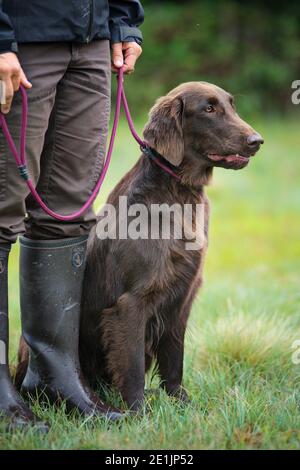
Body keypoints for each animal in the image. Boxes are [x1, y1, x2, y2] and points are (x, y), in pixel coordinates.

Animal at [17, 82, 264, 410]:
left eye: (231, 105)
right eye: (209, 109)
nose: (257, 141)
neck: (176, 194)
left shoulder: (181, 299)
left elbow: (174, 360)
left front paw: (180, 403)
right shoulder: (131, 303)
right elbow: (132, 365)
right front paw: (137, 412)